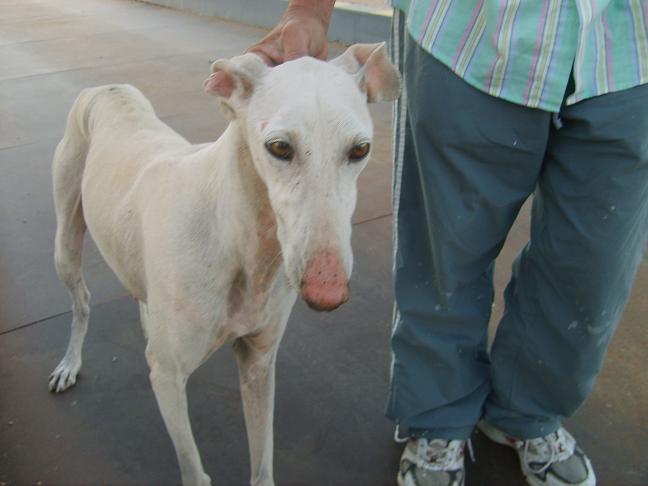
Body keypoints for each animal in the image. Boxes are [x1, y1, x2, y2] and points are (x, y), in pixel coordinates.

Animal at [48, 43, 400, 484]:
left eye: (360, 150)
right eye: (279, 147)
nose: (327, 290)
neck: (240, 244)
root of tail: (108, 87)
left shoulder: (259, 363)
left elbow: (262, 465)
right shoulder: (167, 376)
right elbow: (194, 471)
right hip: (65, 243)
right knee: (82, 301)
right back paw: (69, 363)